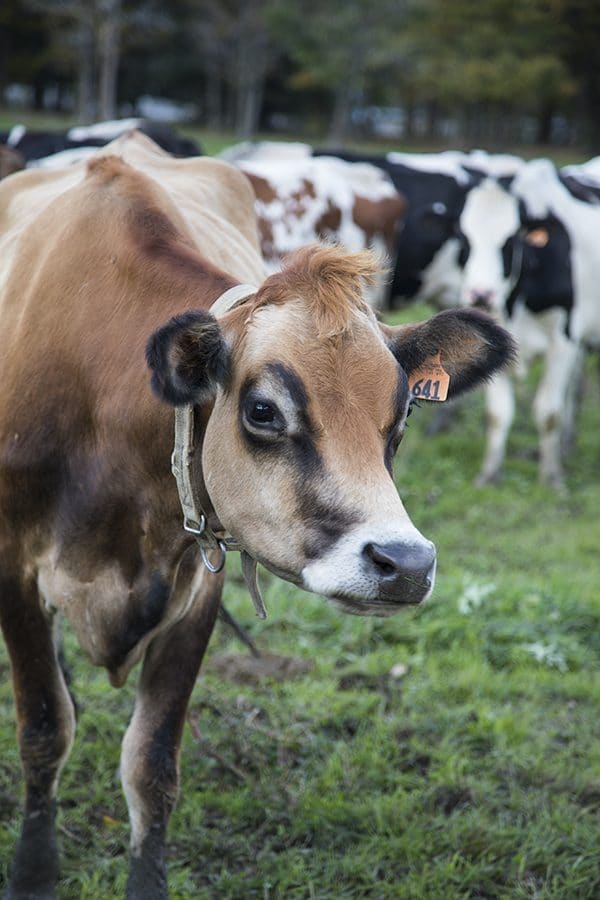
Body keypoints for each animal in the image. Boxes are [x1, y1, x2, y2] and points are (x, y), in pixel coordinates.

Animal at [0, 130, 516, 896]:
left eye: (401, 417)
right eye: (264, 410)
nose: (405, 563)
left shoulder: (200, 584)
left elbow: (151, 766)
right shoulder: (13, 563)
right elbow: (43, 728)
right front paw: (34, 872)